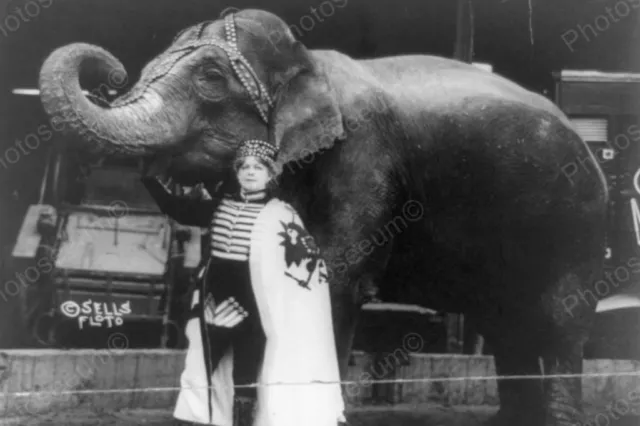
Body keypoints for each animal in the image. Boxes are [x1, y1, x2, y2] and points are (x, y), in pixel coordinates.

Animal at [37, 7, 608, 426]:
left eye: (211, 77)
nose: (109, 78)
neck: (310, 62)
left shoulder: (365, 157)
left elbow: (335, 279)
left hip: (575, 221)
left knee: (559, 315)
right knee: (504, 320)